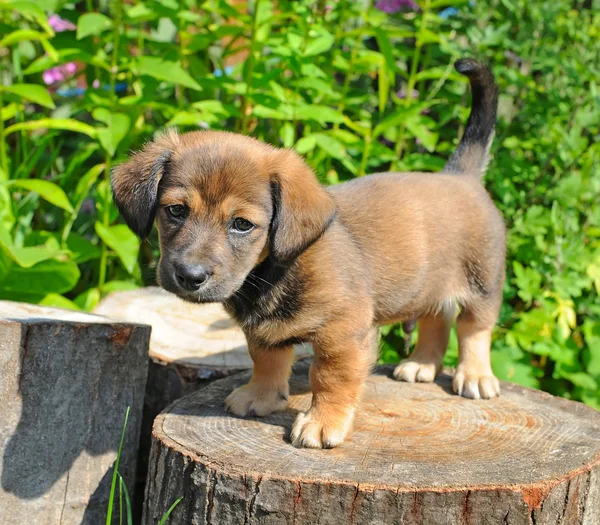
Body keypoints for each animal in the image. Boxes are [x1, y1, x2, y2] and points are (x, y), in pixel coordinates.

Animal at [111, 59, 502, 448]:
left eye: (242, 224)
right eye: (175, 210)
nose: (190, 276)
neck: (271, 272)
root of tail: (461, 176)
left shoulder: (343, 334)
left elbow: (330, 378)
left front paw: (323, 422)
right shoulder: (263, 332)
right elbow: (266, 361)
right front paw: (261, 396)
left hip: (482, 282)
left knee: (473, 329)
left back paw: (475, 376)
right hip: (430, 285)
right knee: (438, 318)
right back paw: (422, 363)